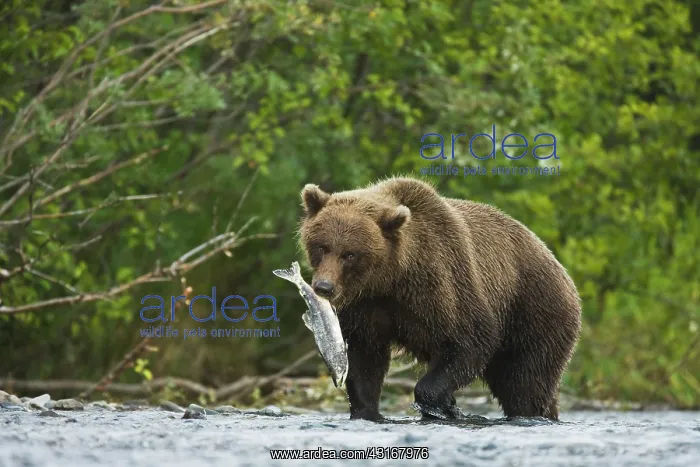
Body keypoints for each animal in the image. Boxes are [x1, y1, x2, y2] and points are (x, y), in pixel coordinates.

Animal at [298, 176, 582, 422]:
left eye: (350, 254)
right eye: (321, 246)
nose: (324, 286)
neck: (391, 277)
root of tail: (560, 268)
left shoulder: (442, 285)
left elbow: (470, 341)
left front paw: (444, 405)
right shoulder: (365, 307)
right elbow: (364, 360)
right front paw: (366, 409)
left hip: (534, 311)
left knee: (525, 383)